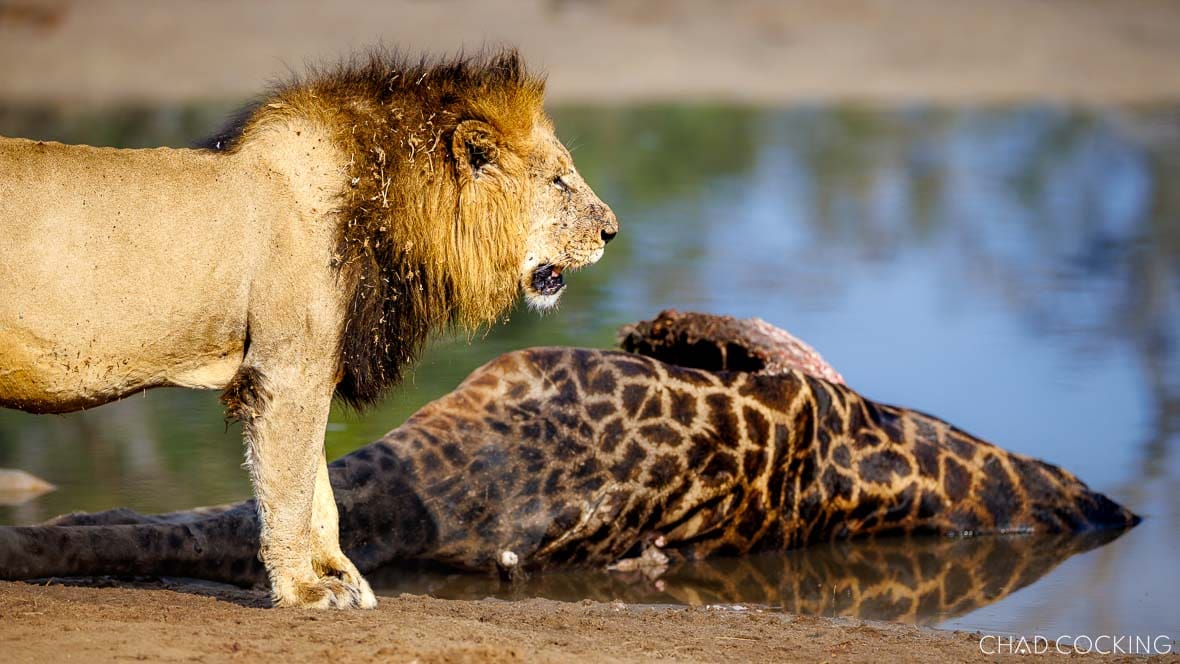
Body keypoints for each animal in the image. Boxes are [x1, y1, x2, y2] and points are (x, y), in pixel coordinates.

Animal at [0, 50, 618, 609]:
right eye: (560, 181)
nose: (612, 231)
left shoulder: (312, 368)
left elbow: (320, 493)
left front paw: (343, 578)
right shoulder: (285, 371)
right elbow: (290, 491)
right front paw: (304, 590)